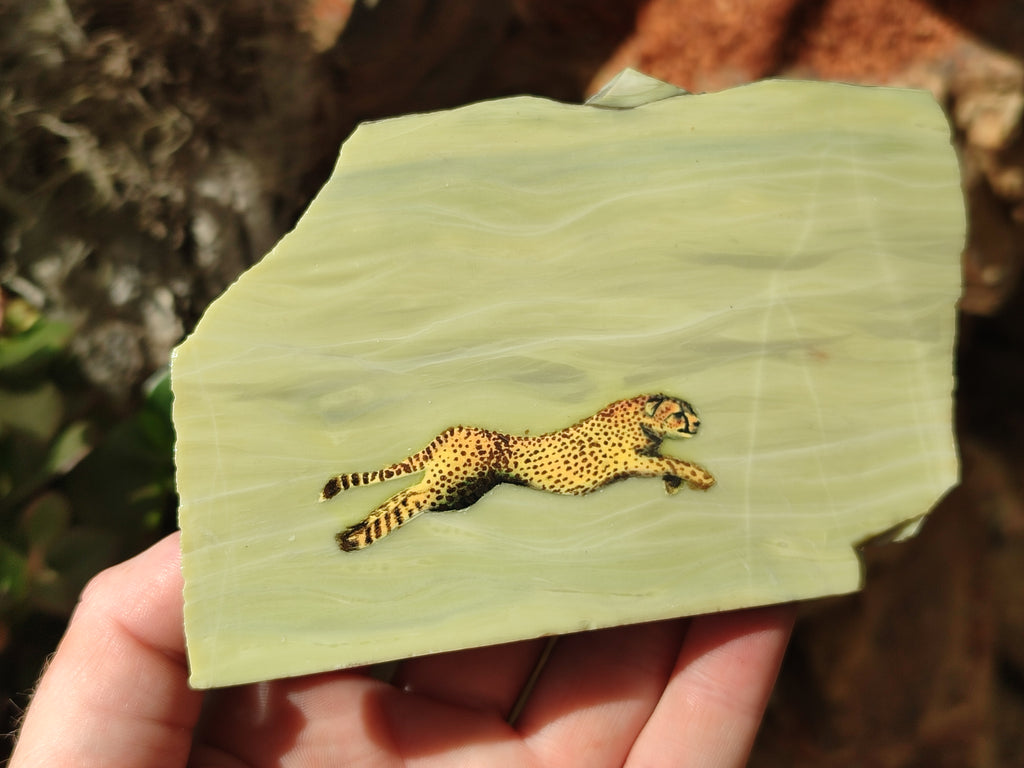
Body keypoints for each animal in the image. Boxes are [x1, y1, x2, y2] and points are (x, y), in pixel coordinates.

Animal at [319, 393, 715, 551]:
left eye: (692, 411)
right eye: (680, 413)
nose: (698, 424)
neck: (639, 417)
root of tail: (453, 430)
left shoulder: (640, 460)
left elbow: (666, 463)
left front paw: (676, 484)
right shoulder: (627, 460)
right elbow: (671, 461)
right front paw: (701, 477)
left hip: (447, 488)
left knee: (402, 494)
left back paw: (350, 531)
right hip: (448, 490)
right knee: (407, 503)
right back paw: (355, 540)